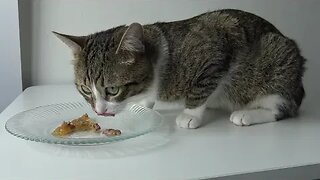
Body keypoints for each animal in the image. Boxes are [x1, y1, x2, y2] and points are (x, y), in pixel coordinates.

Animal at [53, 9, 306, 129]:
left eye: (112, 90)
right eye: (86, 90)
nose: (99, 111)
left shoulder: (215, 52)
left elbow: (201, 88)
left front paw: (190, 114)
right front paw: (142, 105)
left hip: (278, 67)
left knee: (283, 108)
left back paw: (247, 114)